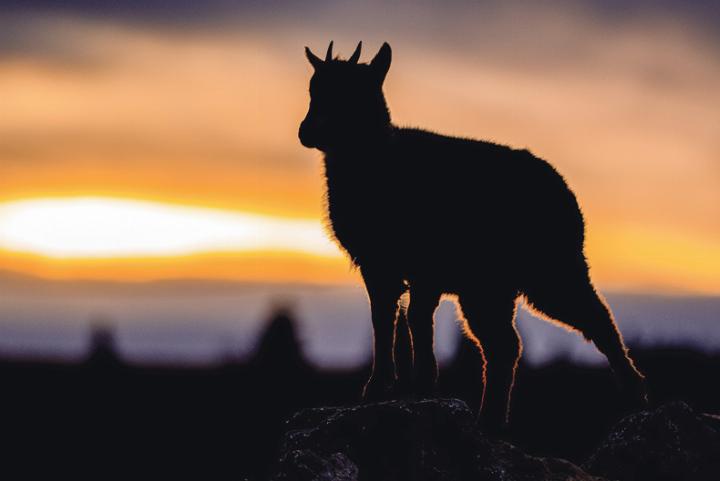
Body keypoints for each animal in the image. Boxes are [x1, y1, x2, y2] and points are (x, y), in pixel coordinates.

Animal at [298, 41, 648, 428]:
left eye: (353, 94)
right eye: (314, 90)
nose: (307, 132)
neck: (378, 162)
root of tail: (569, 200)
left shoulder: (419, 267)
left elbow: (411, 319)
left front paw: (414, 384)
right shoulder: (381, 266)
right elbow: (389, 320)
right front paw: (393, 386)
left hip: (548, 270)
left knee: (593, 319)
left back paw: (634, 394)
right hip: (489, 288)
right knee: (505, 345)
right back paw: (491, 421)